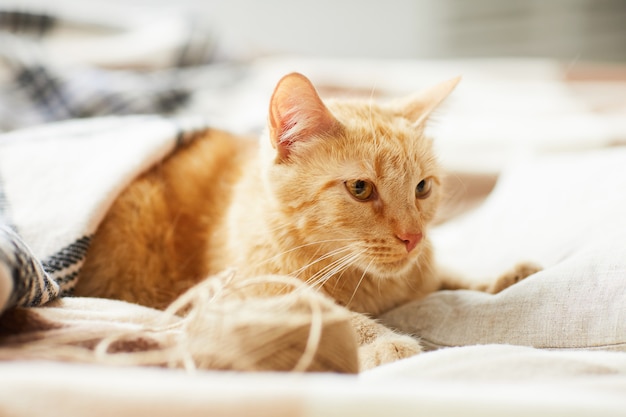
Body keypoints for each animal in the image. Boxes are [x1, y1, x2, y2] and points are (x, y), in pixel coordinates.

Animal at [74, 73, 512, 368]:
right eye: (360, 188)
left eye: (422, 188)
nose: (413, 237)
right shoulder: (243, 295)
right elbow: (324, 311)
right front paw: (381, 341)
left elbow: (445, 275)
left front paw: (497, 278)